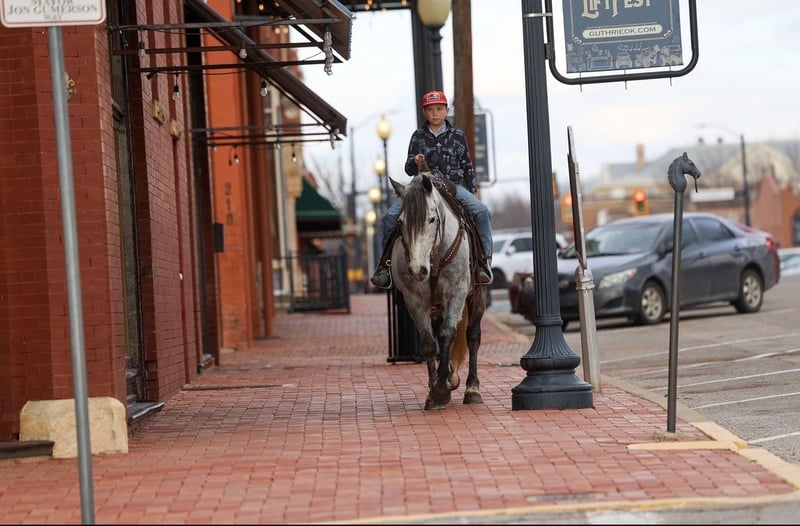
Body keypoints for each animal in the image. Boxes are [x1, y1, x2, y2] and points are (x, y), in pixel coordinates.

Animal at [387, 173, 485, 410]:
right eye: (400, 222)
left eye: (432, 219)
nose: (417, 270)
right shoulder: (414, 300)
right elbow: (429, 342)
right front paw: (435, 391)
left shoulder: (457, 292)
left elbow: (448, 333)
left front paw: (441, 387)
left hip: (477, 296)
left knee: (472, 335)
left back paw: (472, 388)